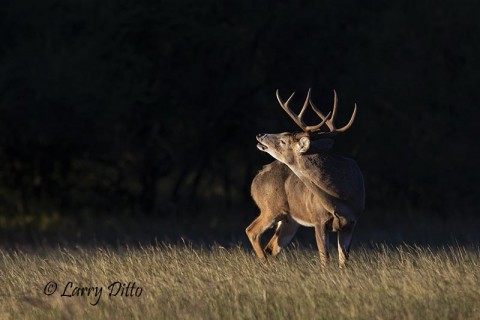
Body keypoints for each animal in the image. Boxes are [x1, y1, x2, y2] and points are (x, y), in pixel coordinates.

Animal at [248, 89, 364, 268]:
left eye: (283, 140)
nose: (260, 134)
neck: (340, 196)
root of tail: (257, 178)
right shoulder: (318, 220)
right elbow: (325, 260)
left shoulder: (351, 223)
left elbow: (343, 262)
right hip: (270, 207)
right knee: (252, 231)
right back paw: (265, 264)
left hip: (288, 219)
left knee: (270, 246)